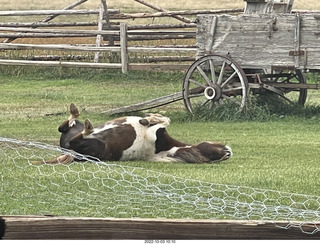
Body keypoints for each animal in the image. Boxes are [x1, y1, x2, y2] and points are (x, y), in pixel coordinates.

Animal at [45, 103, 232, 164]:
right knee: (66, 126)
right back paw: (76, 114)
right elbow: (164, 119)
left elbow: (165, 120)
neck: (166, 148)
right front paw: (149, 118)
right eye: (215, 151)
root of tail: (68, 153)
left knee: (77, 138)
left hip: (94, 147)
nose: (228, 152)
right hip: (73, 131)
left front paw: (150, 118)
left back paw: (88, 127)